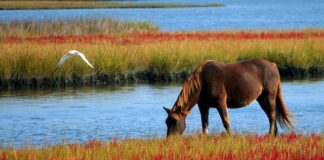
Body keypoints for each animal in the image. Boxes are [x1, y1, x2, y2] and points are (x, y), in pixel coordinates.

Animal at [163, 58, 294, 136]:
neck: (202, 82)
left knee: (272, 115)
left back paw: (270, 134)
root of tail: (274, 65)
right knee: (271, 115)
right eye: (166, 122)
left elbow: (226, 121)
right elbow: (204, 124)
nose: (170, 140)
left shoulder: (221, 102)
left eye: (174, 121)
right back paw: (274, 134)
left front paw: (231, 136)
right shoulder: (203, 106)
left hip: (269, 95)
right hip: (261, 98)